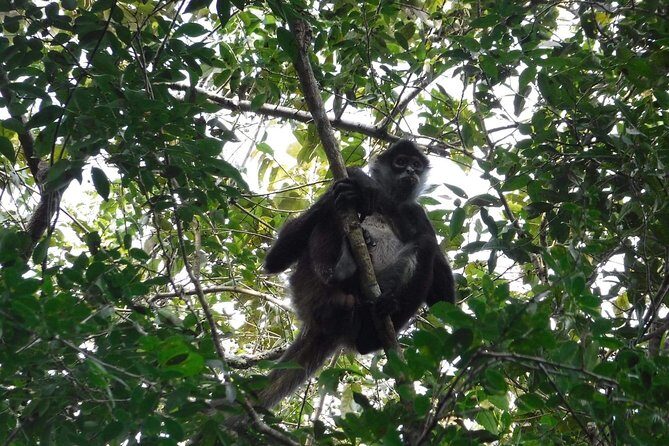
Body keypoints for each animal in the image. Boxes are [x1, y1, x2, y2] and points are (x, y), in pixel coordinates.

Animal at [258, 140, 455, 409]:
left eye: (416, 164)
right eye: (400, 162)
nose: (410, 172)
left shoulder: (417, 212)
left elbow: (445, 301)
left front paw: (368, 188)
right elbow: (275, 260)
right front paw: (359, 180)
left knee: (424, 243)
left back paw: (377, 320)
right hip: (307, 286)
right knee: (330, 215)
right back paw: (345, 268)